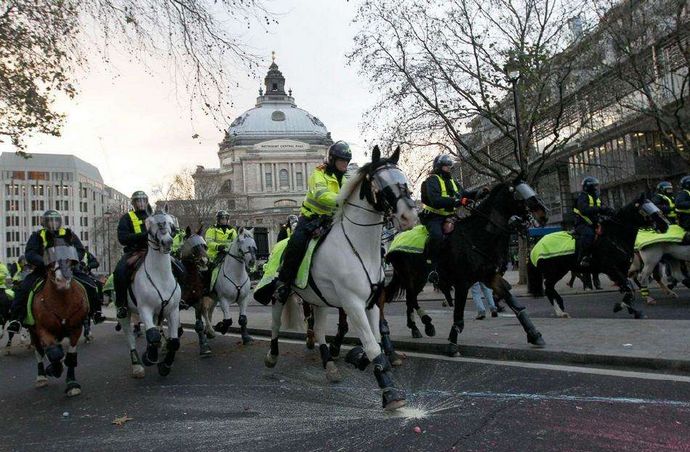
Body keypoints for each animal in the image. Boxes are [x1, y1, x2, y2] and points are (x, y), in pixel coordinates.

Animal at [29, 244, 89, 396]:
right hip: (33, 331)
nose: (62, 280)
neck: (62, 301)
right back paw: (41, 377)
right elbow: (54, 354)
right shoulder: (43, 329)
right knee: (39, 352)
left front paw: (72, 383)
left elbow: (70, 357)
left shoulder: (76, 329)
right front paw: (53, 370)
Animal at [119, 211, 181, 378]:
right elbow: (152, 334)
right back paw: (137, 366)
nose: (167, 242)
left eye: (170, 223)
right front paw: (149, 357)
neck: (160, 276)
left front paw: (165, 365)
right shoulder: (144, 309)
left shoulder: (172, 310)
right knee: (130, 337)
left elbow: (174, 341)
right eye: (151, 223)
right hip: (125, 313)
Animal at [262, 147, 414, 412]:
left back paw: (329, 364)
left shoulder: (372, 303)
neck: (358, 247)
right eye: (381, 183)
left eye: (402, 177)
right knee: (275, 324)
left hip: (318, 300)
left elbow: (376, 341)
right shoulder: (352, 303)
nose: (409, 216)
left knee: (320, 330)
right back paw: (272, 356)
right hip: (281, 295)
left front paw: (361, 360)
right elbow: (372, 345)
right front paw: (390, 393)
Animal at [528, 196, 668, 320]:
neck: (615, 236)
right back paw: (560, 312)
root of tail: (536, 246)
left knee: (550, 288)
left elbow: (628, 289)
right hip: (554, 271)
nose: (665, 225)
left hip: (561, 271)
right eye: (645, 209)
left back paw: (561, 305)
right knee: (548, 288)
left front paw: (633, 311)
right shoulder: (611, 269)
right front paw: (620, 307)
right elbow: (628, 288)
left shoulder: (622, 269)